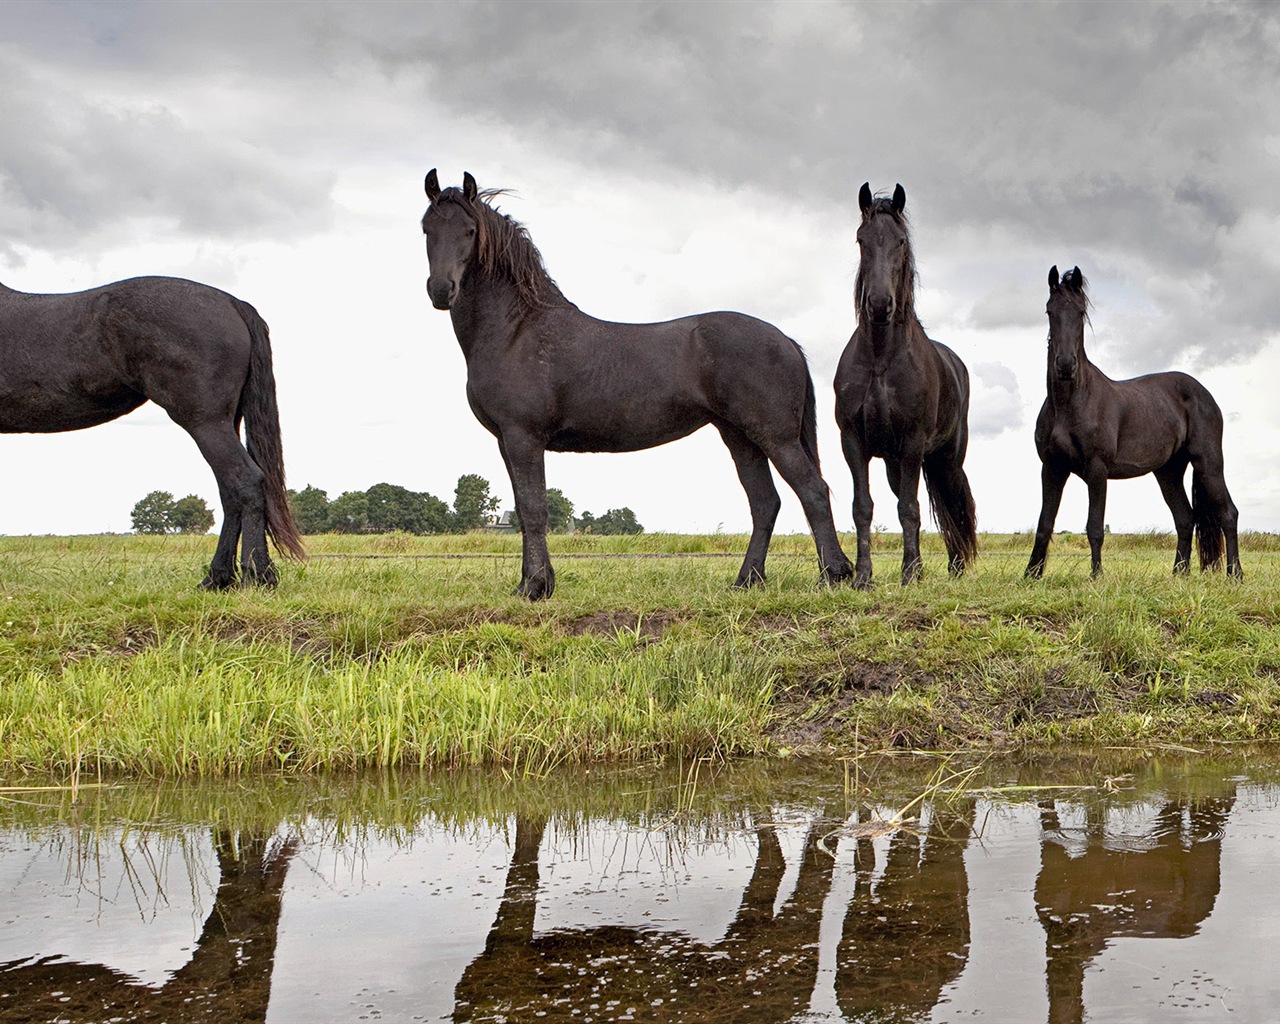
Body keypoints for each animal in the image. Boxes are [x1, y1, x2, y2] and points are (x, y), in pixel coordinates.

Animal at [0, 276, 304, 588]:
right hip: (225, 422)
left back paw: (257, 577)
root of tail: (232, 303)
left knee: (246, 481)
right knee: (230, 493)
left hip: (206, 423)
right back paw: (216, 579)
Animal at [424, 167, 855, 599]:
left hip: (775, 437)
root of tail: (786, 341)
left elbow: (533, 509)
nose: (441, 290)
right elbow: (522, 507)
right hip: (739, 437)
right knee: (766, 503)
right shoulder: (507, 441)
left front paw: (536, 586)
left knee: (812, 491)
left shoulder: (523, 436)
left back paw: (834, 575)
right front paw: (529, 583)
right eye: (427, 227)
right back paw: (747, 579)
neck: (518, 330)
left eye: (469, 231)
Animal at [834, 180, 972, 588]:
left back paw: (956, 566)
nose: (880, 305)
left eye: (900, 241)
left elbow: (910, 508)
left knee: (952, 504)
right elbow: (863, 508)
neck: (881, 360)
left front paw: (909, 573)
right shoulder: (854, 443)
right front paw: (863, 576)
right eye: (861, 239)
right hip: (895, 463)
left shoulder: (912, 444)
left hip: (945, 458)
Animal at [1024, 267, 1244, 581]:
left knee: (1228, 513)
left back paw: (1234, 574)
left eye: (1080, 312)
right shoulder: (1052, 468)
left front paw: (1096, 577)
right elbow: (1044, 523)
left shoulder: (1097, 470)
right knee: (1185, 518)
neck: (1069, 405)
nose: (1065, 366)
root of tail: (1204, 394)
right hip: (1168, 471)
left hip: (1209, 463)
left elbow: (1094, 527)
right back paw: (1179, 574)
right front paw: (1030, 575)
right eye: (1049, 310)